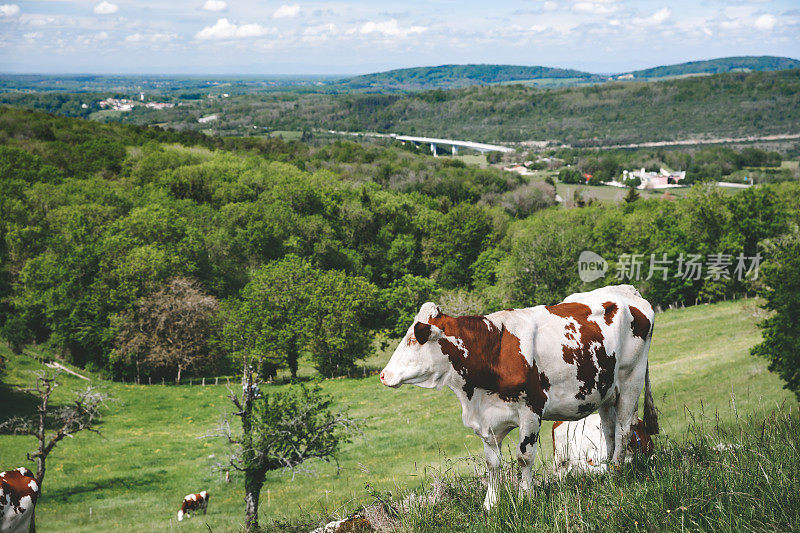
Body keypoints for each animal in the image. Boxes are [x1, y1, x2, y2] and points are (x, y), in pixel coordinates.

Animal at [380, 282, 656, 508]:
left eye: (413, 340)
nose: (383, 375)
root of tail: (626, 290)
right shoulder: (488, 420)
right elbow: (492, 463)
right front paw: (490, 504)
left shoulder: (531, 411)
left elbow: (524, 458)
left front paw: (525, 497)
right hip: (606, 393)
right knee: (609, 432)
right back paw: (608, 472)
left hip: (631, 380)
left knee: (623, 429)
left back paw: (616, 473)